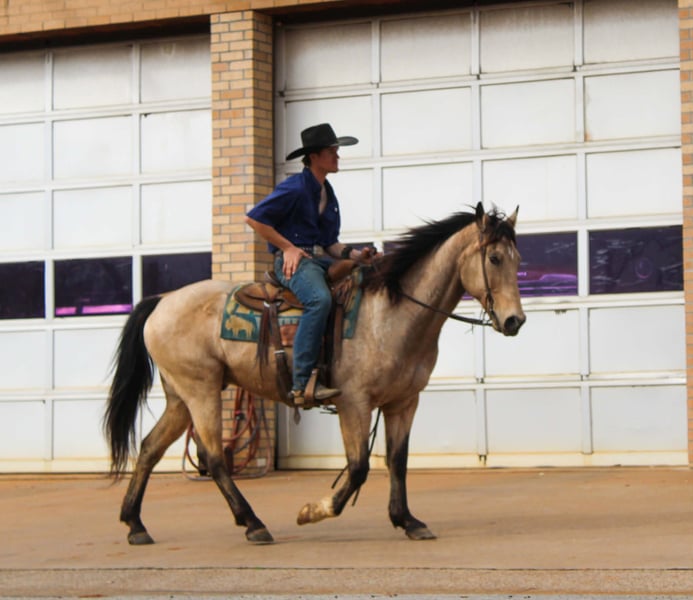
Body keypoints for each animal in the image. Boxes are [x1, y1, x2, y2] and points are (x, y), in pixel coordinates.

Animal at [104, 201, 525, 545]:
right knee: (214, 457)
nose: (514, 321)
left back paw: (135, 524)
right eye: (494, 259)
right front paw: (313, 511)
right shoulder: (354, 403)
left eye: (518, 259)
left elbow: (397, 462)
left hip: (180, 397)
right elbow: (357, 468)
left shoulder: (403, 402)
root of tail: (162, 301)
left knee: (150, 449)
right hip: (201, 390)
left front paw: (408, 520)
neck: (392, 312)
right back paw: (254, 524)